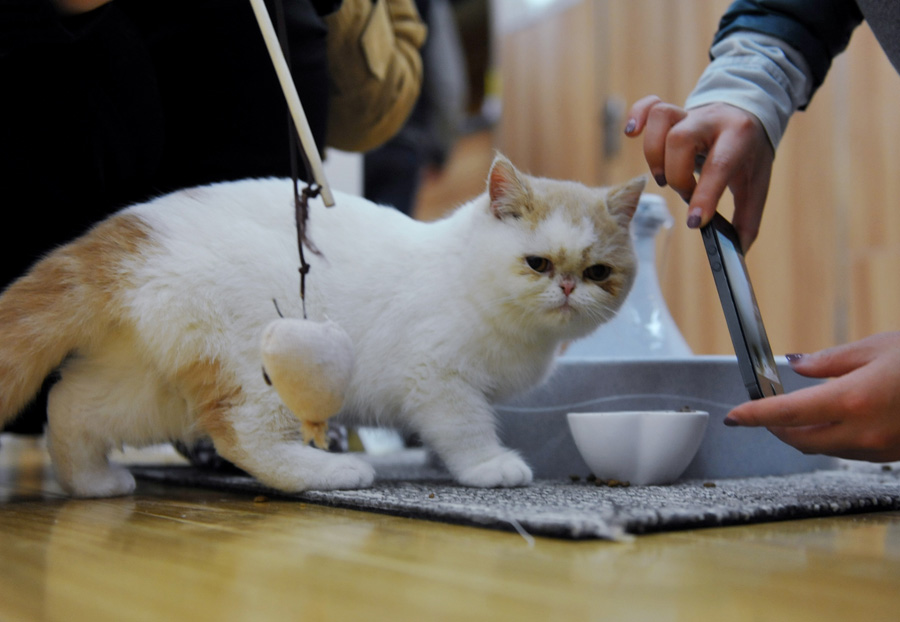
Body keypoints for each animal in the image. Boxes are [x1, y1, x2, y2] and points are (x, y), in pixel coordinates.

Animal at [0, 157, 648, 502]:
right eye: (538, 263)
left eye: (597, 272)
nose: (568, 289)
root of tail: (123, 234)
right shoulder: (440, 381)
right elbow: (465, 431)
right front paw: (489, 467)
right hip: (253, 367)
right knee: (243, 438)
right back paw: (335, 472)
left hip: (149, 388)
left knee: (68, 404)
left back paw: (90, 482)